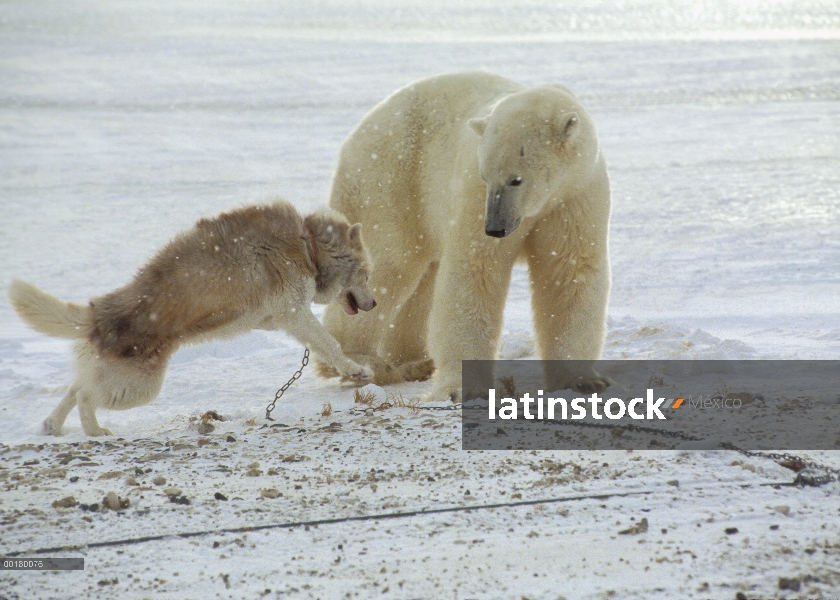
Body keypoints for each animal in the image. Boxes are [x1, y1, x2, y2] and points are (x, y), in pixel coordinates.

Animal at [8, 202, 376, 436]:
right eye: (367, 274)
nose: (374, 304)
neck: (309, 244)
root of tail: (101, 311)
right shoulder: (296, 313)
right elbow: (331, 344)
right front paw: (357, 370)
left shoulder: (281, 319)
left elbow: (323, 344)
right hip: (137, 388)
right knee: (85, 395)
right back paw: (95, 431)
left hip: (115, 377)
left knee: (75, 388)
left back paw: (53, 425)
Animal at [322, 72, 612, 400]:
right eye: (487, 176)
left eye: (516, 179)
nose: (495, 228)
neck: (543, 202)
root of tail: (358, 132)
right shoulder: (473, 195)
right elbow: (475, 271)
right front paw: (463, 388)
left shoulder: (576, 195)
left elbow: (568, 272)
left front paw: (582, 380)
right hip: (389, 182)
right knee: (389, 265)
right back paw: (359, 362)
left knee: (422, 281)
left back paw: (413, 362)